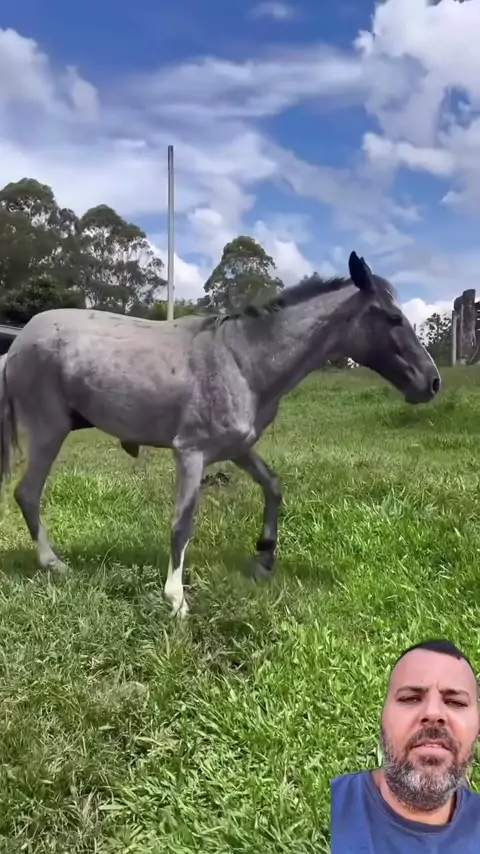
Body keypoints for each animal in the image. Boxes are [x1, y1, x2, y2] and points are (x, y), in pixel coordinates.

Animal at [0, 251, 440, 617]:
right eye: (393, 318)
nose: (432, 382)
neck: (244, 361)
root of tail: (16, 346)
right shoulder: (190, 452)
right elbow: (182, 523)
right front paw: (176, 600)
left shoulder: (236, 448)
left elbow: (273, 486)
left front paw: (264, 557)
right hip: (49, 430)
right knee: (28, 493)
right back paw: (54, 564)